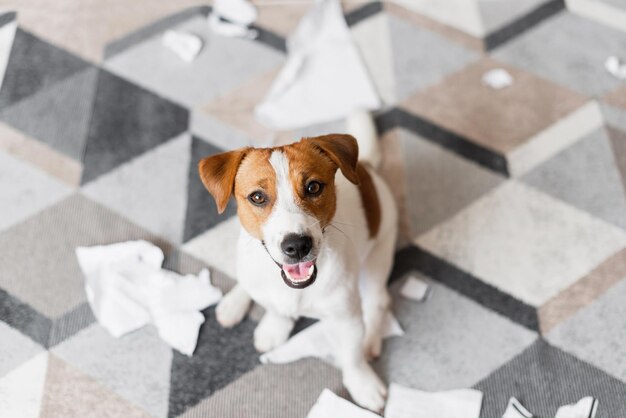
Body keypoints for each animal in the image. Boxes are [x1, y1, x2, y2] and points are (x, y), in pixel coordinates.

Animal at [197, 114, 398, 412]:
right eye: (257, 197)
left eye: (313, 187)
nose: (297, 246)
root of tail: (367, 167)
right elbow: (276, 310)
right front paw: (274, 328)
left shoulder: (347, 319)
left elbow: (351, 356)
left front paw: (363, 384)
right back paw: (234, 302)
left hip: (377, 258)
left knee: (378, 301)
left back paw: (370, 340)